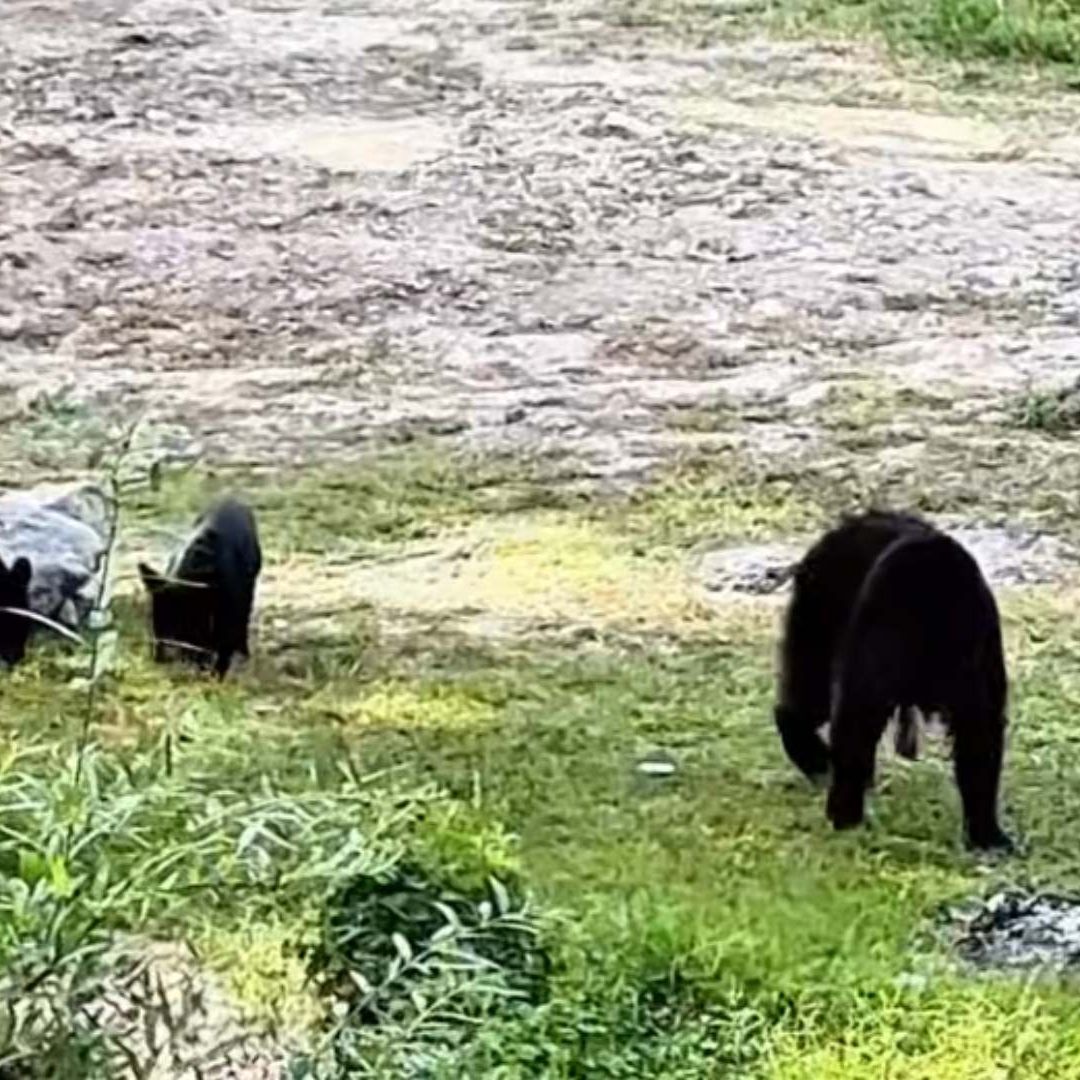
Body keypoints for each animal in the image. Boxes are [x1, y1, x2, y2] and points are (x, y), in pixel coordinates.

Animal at [138, 497, 261, 678]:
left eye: (180, 622)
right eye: (153, 618)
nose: (157, 659)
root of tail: (233, 500)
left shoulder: (230, 606)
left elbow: (224, 640)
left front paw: (217, 676)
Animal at [774, 510, 1011, 851]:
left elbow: (979, 747)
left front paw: (987, 836)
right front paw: (844, 817)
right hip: (815, 634)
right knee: (800, 704)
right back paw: (820, 765)